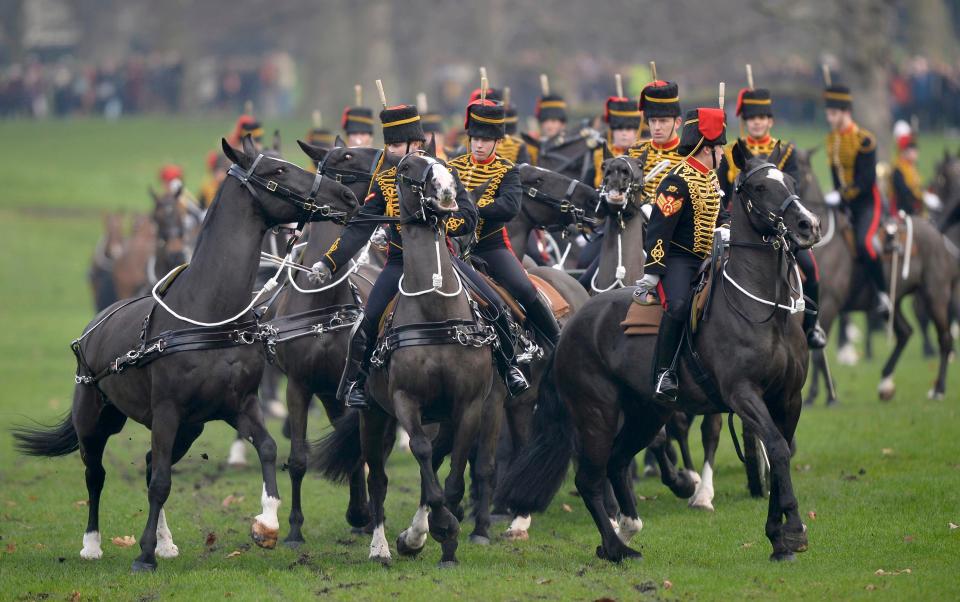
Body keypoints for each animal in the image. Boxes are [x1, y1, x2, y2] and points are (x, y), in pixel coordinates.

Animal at [12, 137, 356, 572]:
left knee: (148, 464)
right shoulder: (167, 411)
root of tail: (98, 321)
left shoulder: (238, 405)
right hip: (94, 418)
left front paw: (267, 523)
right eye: (277, 170)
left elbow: (267, 448)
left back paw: (165, 541)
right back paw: (93, 544)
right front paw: (142, 555)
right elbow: (160, 483)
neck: (208, 316)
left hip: (188, 430)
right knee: (97, 474)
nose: (346, 195)